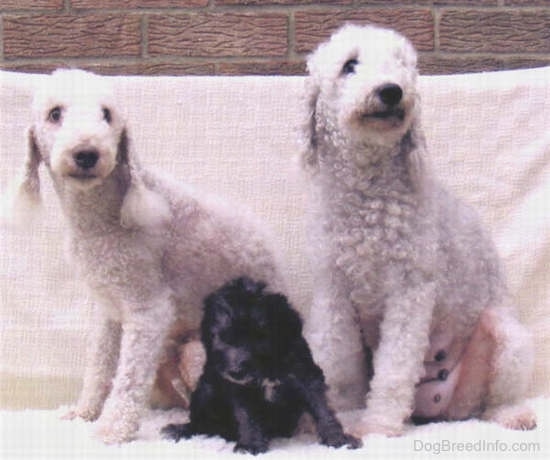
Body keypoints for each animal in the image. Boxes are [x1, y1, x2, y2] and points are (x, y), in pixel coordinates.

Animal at [15, 70, 286, 444]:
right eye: (55, 114)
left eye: (107, 115)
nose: (87, 153)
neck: (102, 217)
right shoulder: (109, 307)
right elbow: (99, 364)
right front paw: (84, 412)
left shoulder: (148, 310)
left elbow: (129, 376)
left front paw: (112, 429)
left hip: (199, 352)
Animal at [163, 276, 362, 452]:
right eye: (221, 337)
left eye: (259, 336)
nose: (236, 371)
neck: (267, 368)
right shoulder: (239, 388)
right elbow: (247, 415)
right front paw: (250, 444)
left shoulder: (305, 374)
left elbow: (321, 406)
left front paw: (338, 439)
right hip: (206, 390)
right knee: (200, 422)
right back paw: (181, 430)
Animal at [302, 23, 540, 436]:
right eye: (349, 65)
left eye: (402, 65)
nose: (392, 90)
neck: (369, 197)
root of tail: (448, 409)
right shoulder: (333, 288)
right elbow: (334, 358)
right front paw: (331, 416)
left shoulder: (409, 289)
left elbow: (395, 367)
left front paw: (378, 426)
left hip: (508, 339)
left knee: (494, 399)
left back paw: (512, 414)